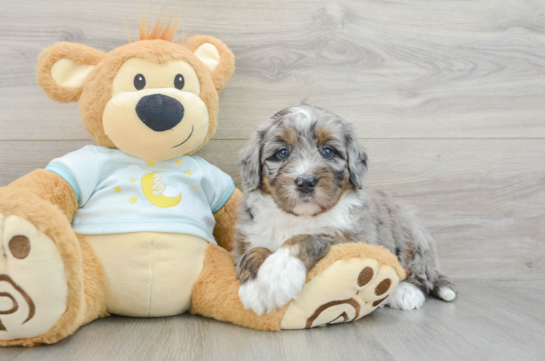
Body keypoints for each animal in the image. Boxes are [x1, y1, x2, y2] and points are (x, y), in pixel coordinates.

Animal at [233, 102, 454, 314]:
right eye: (282, 153)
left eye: (327, 151)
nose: (305, 182)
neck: (300, 216)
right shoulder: (248, 237)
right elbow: (254, 250)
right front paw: (255, 287)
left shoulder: (354, 241)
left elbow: (310, 238)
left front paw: (278, 272)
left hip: (412, 232)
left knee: (422, 272)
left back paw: (406, 292)